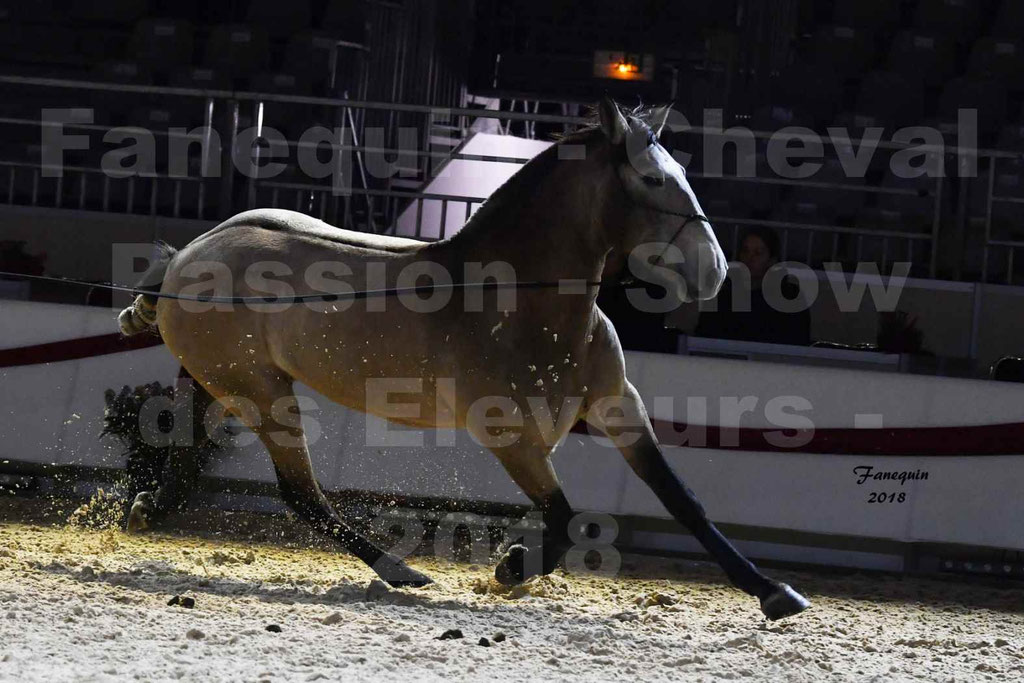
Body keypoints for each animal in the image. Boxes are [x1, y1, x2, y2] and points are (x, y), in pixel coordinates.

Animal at [117, 97, 810, 620]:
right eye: (654, 180)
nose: (714, 272)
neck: (524, 303)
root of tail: (192, 252)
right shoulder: (512, 436)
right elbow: (565, 519)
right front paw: (509, 569)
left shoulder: (619, 405)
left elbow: (682, 498)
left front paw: (776, 593)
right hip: (263, 393)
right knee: (300, 492)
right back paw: (402, 571)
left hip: (218, 381)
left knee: (186, 455)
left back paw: (146, 510)